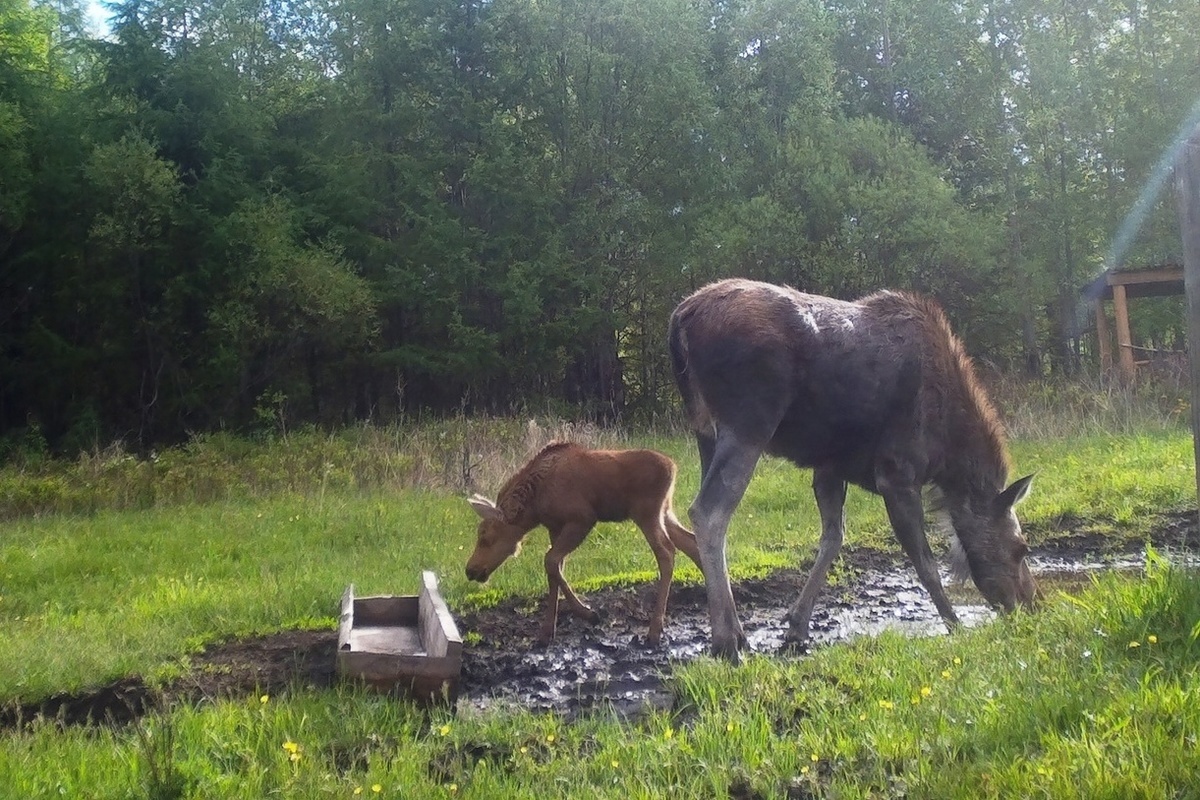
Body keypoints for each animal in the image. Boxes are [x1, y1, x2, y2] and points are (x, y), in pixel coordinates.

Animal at [672, 278, 1036, 662]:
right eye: (1021, 548)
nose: (1032, 603)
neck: (948, 459)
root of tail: (681, 318)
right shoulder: (897, 473)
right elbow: (925, 562)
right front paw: (954, 624)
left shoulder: (830, 468)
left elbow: (833, 538)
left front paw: (797, 626)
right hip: (748, 424)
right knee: (709, 513)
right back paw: (728, 640)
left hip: (705, 432)